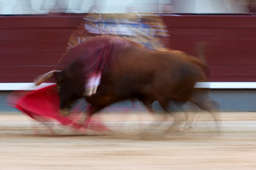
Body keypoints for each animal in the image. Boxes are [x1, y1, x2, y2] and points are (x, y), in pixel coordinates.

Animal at [35, 35, 217, 131]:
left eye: (60, 84)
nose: (62, 111)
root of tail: (191, 61)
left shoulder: (108, 97)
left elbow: (91, 110)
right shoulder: (141, 98)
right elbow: (90, 111)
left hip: (169, 97)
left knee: (189, 111)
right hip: (185, 95)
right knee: (199, 107)